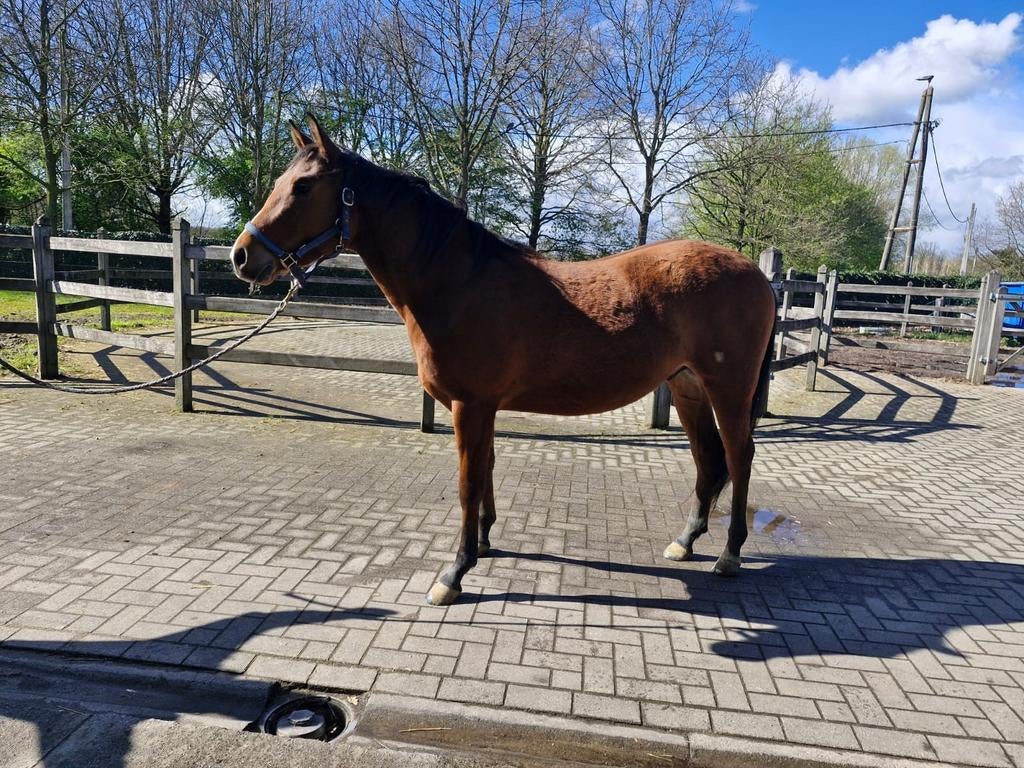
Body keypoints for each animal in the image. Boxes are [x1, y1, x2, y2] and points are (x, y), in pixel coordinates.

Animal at [229, 114, 777, 606]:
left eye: (303, 187)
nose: (242, 256)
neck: (457, 281)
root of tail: (758, 274)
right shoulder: (483, 407)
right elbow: (486, 469)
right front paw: (485, 542)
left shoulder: (469, 405)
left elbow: (468, 481)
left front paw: (454, 573)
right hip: (687, 388)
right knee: (709, 460)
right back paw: (685, 542)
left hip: (728, 390)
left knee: (738, 457)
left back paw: (729, 555)